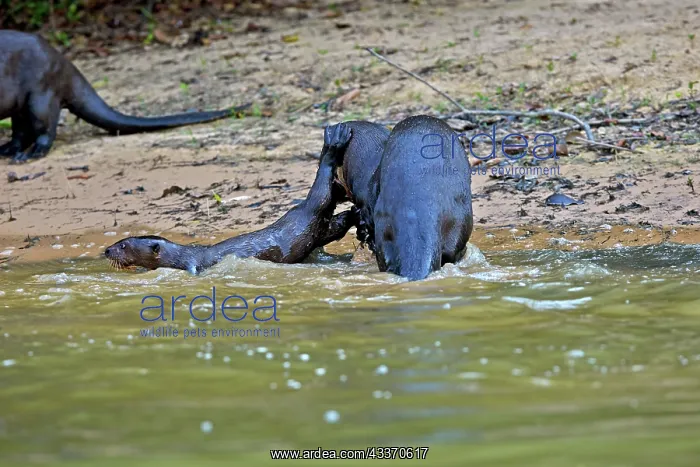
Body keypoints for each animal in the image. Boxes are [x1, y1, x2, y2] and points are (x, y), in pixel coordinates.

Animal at [0, 30, 248, 162]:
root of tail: (63, 61)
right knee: (20, 131)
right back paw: (8, 150)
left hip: (41, 92)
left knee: (45, 129)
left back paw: (31, 154)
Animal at [105, 123, 355, 273]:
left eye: (124, 245)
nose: (107, 250)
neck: (181, 257)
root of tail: (302, 207)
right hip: (320, 230)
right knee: (337, 223)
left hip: (314, 210)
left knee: (323, 186)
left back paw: (334, 143)